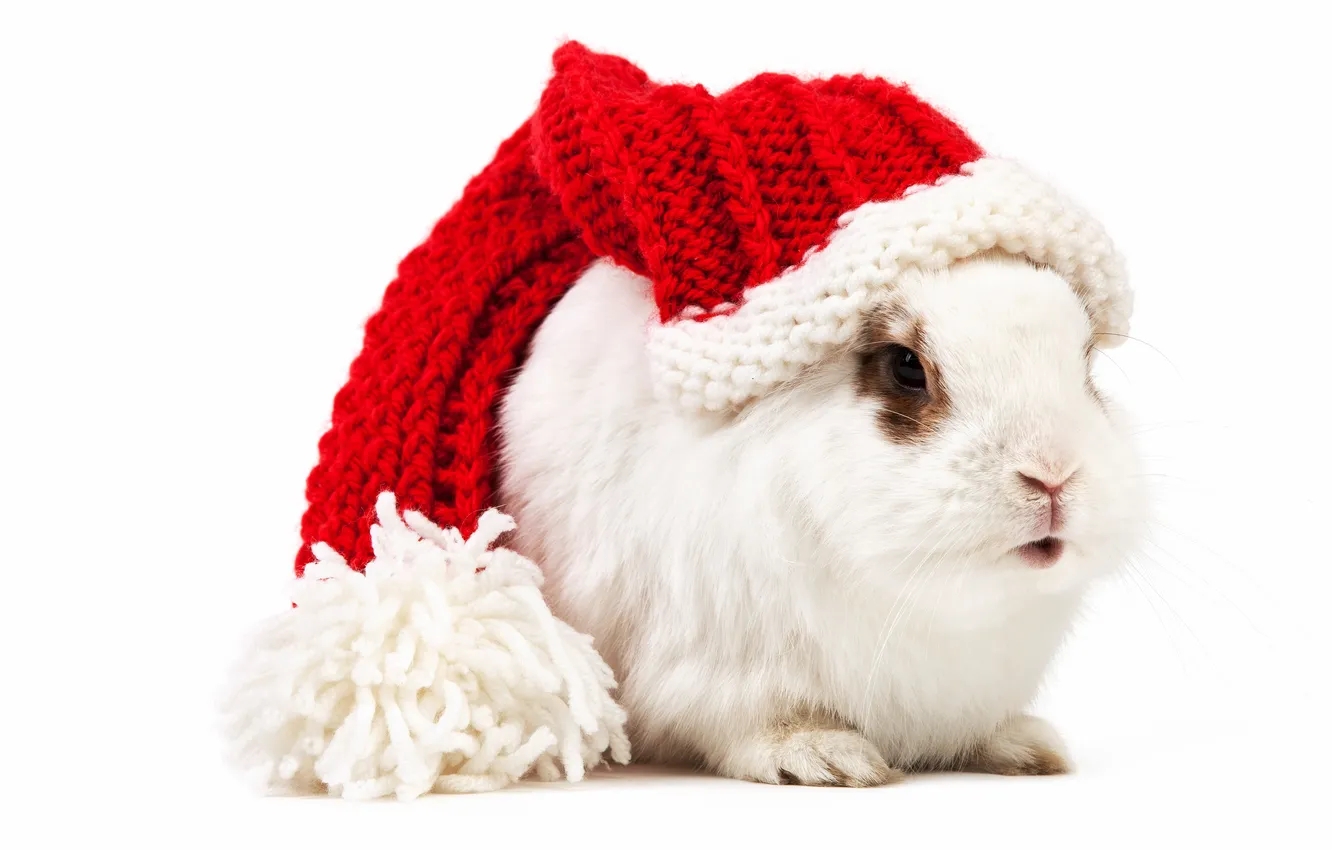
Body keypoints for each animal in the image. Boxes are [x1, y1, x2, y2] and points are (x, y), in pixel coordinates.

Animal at [496, 248, 1147, 786]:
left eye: (1086, 364)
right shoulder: (717, 674)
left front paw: (1030, 749)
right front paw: (828, 759)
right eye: (905, 366)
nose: (1053, 472)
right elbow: (757, 726)